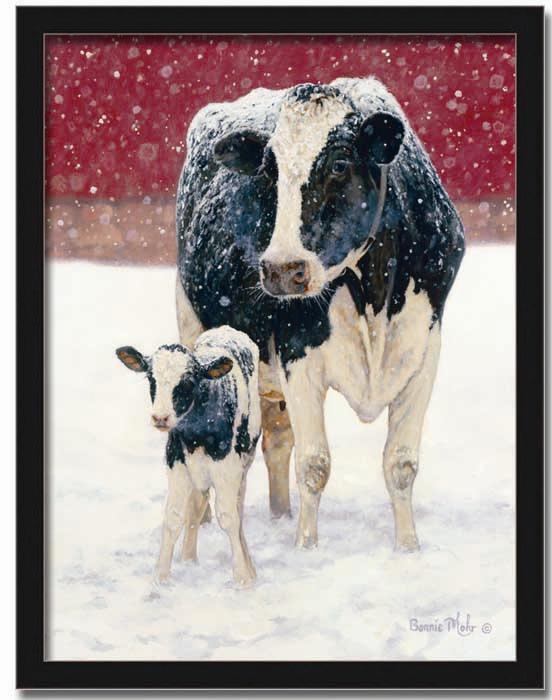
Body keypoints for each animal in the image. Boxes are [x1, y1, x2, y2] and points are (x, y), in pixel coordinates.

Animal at [116, 326, 261, 586]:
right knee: (197, 503)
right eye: (151, 378)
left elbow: (229, 516)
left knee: (238, 509)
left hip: (245, 462)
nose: (160, 418)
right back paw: (189, 558)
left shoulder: (228, 469)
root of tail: (227, 329)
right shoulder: (176, 464)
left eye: (187, 382)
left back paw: (249, 566)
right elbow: (174, 517)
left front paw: (243, 578)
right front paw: (161, 576)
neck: (196, 434)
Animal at [174, 77, 465, 552]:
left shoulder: (423, 348)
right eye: (269, 170)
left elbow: (401, 464)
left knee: (277, 439)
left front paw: (408, 548)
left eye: (340, 164)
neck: (374, 296)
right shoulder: (299, 354)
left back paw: (280, 514)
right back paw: (203, 521)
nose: (280, 270)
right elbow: (314, 465)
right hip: (193, 326)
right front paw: (305, 548)